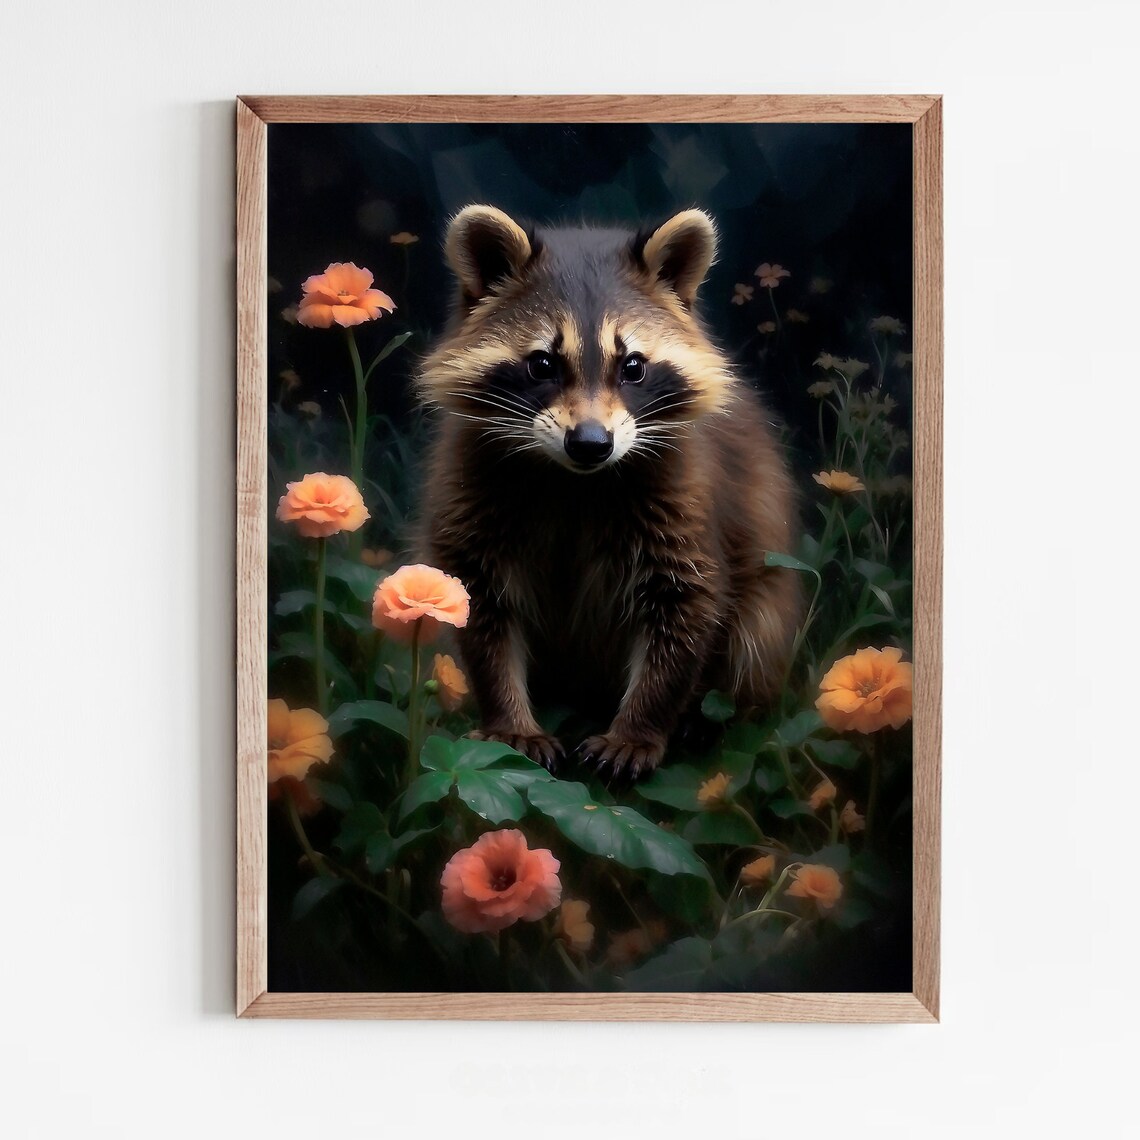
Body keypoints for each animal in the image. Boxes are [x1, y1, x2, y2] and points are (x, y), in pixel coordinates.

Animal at [416, 205, 801, 782]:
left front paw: (639, 727)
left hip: (768, 598)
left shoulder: (685, 499)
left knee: (759, 631)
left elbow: (686, 608)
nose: (591, 444)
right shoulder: (470, 493)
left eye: (633, 366)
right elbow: (477, 604)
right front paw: (507, 716)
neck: (576, 479)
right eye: (542, 365)